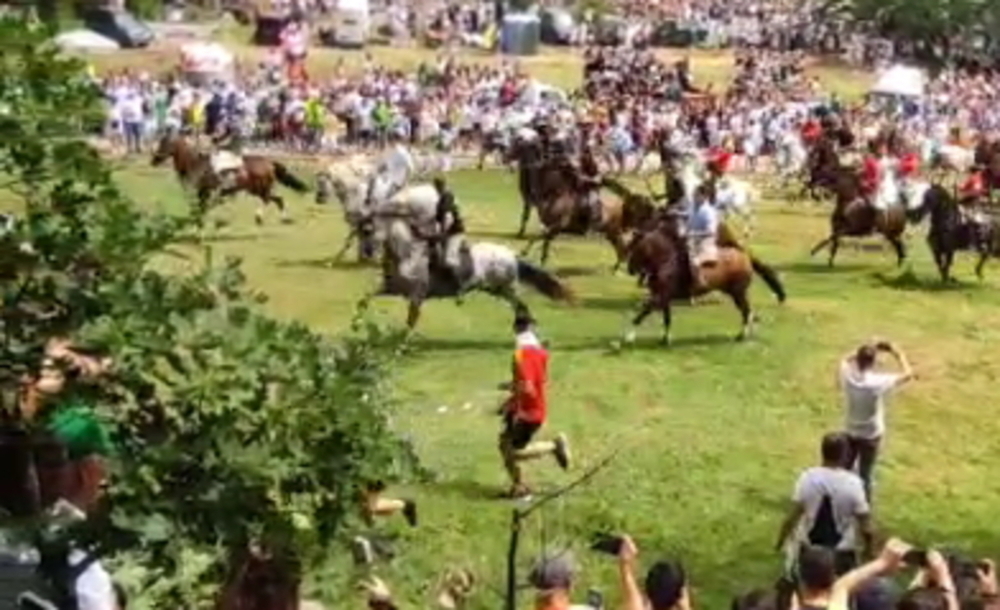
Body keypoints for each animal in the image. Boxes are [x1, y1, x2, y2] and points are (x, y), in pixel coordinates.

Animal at [150, 131, 308, 223]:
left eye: (164, 144)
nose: (153, 161)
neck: (195, 163)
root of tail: (269, 162)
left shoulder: (202, 190)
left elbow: (201, 206)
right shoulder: (204, 191)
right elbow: (202, 207)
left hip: (260, 188)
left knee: (268, 199)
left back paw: (259, 216)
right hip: (256, 189)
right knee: (278, 199)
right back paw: (285, 219)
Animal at [616, 210, 788, 344]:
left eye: (634, 248)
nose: (630, 270)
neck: (665, 260)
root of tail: (744, 255)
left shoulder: (660, 296)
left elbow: (643, 313)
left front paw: (628, 337)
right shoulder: (664, 297)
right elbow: (667, 318)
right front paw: (666, 339)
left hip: (739, 293)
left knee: (746, 312)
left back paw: (741, 336)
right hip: (735, 293)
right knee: (748, 312)